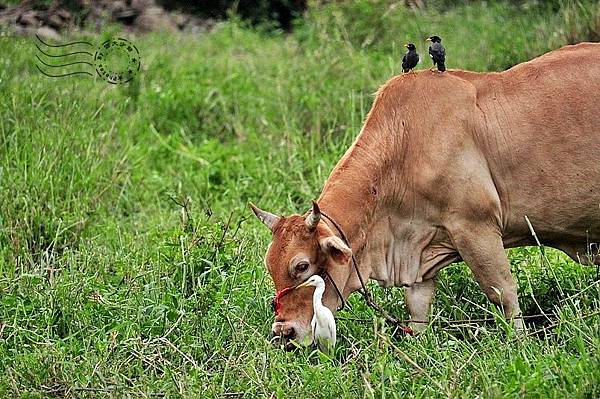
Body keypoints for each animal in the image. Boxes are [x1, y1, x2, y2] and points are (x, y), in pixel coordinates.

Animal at [250, 42, 600, 346]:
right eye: (270, 265)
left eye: (301, 267)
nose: (283, 332)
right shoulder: (419, 251)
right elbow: (417, 310)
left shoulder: (476, 229)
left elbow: (503, 293)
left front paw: (521, 343)